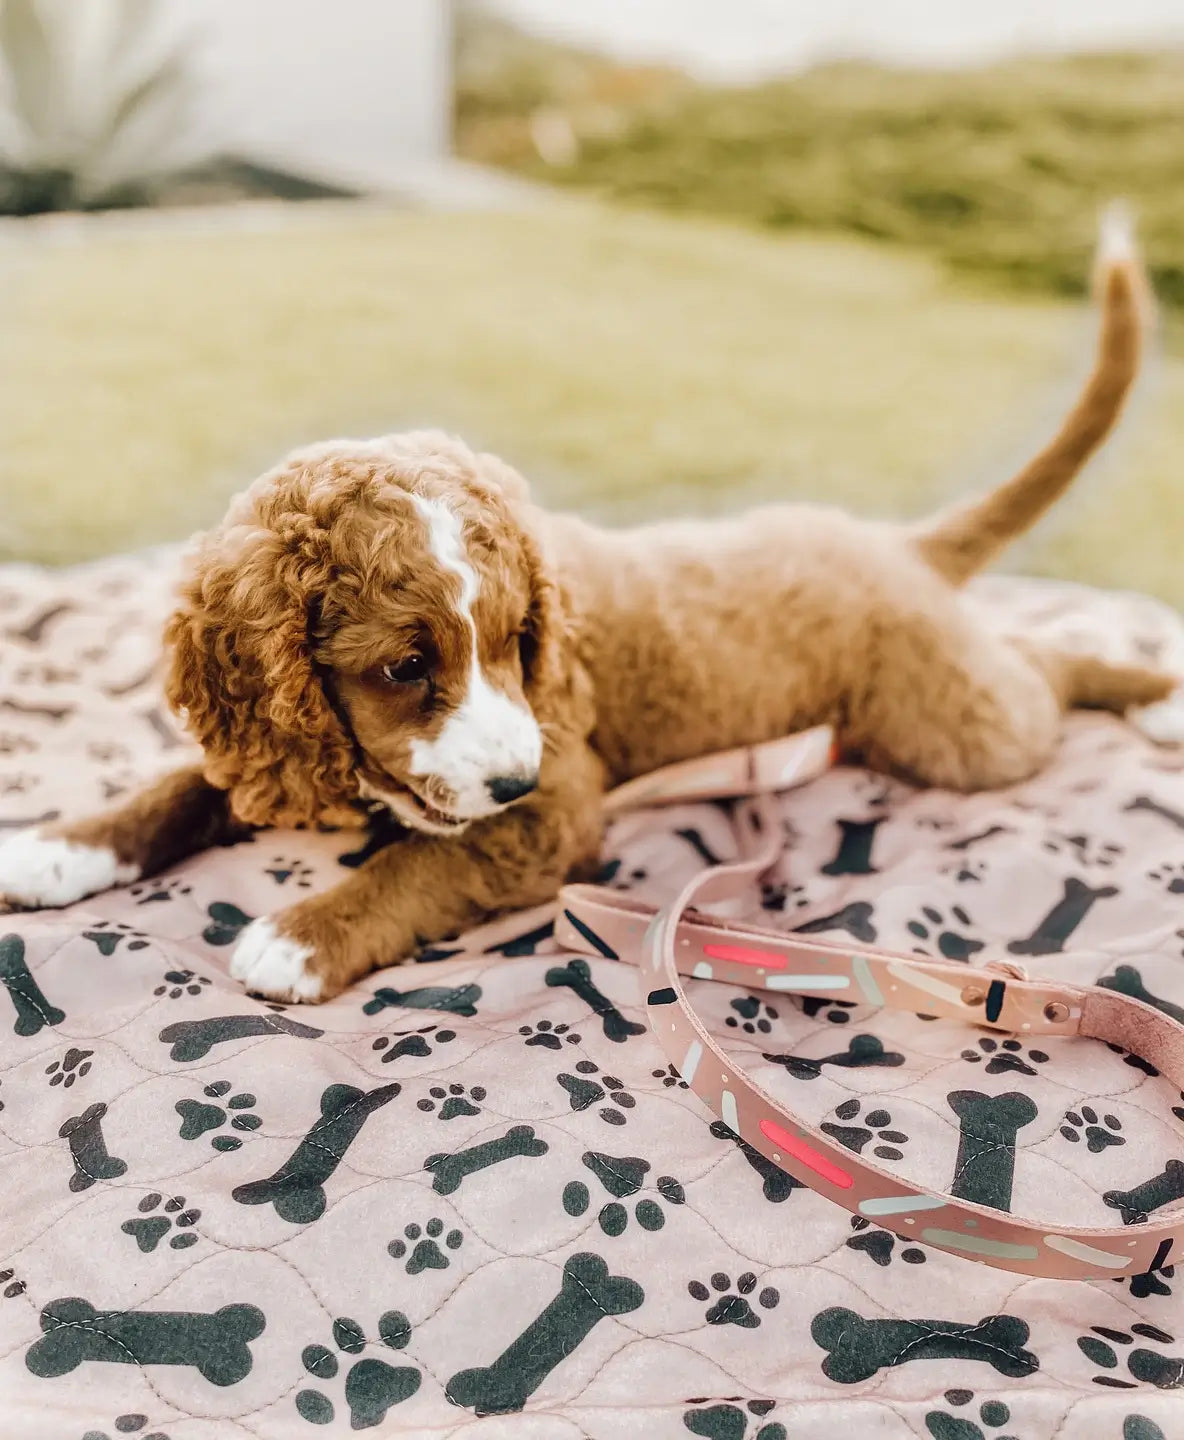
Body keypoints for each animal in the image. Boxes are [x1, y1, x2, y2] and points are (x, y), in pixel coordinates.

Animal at [0, 218, 1175, 1002]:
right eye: (403, 667)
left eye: (516, 643)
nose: (511, 778)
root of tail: (891, 543)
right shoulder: (273, 742)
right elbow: (183, 786)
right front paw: (60, 847)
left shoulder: (556, 811)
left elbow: (427, 860)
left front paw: (301, 935)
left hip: (954, 727)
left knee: (1044, 670)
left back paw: (1154, 697)